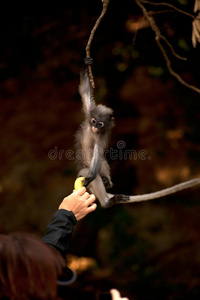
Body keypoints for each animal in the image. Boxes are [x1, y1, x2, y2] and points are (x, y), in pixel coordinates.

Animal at [75, 59, 200, 209]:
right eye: (93, 121)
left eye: (100, 124)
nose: (94, 127)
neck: (94, 130)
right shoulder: (89, 112)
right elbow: (84, 91)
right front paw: (87, 63)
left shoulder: (102, 136)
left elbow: (97, 158)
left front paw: (90, 178)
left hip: (86, 171)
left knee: (98, 166)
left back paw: (107, 199)